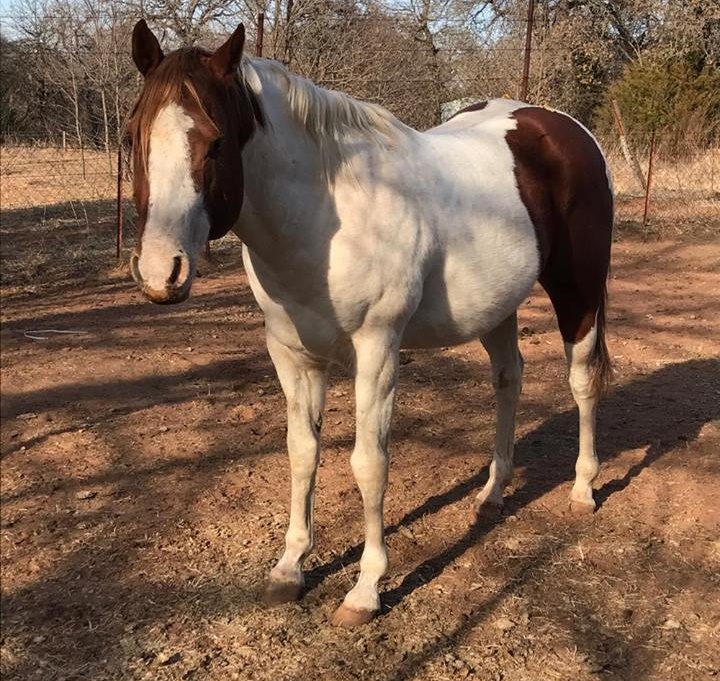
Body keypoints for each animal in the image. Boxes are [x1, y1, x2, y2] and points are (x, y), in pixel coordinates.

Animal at [127, 20, 613, 627]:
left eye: (216, 142)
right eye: (133, 136)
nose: (159, 272)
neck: (325, 219)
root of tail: (564, 128)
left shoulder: (377, 351)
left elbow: (369, 463)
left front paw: (366, 588)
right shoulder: (291, 354)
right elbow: (302, 452)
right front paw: (290, 568)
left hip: (579, 293)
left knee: (582, 381)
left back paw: (583, 488)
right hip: (497, 305)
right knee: (508, 379)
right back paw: (493, 493)